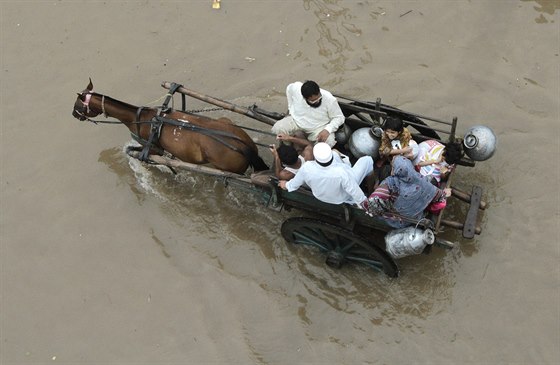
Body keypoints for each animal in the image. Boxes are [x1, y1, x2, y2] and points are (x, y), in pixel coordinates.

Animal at [71, 79, 268, 173]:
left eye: (78, 104)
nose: (73, 114)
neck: (139, 118)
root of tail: (245, 145)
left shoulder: (152, 148)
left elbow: (134, 152)